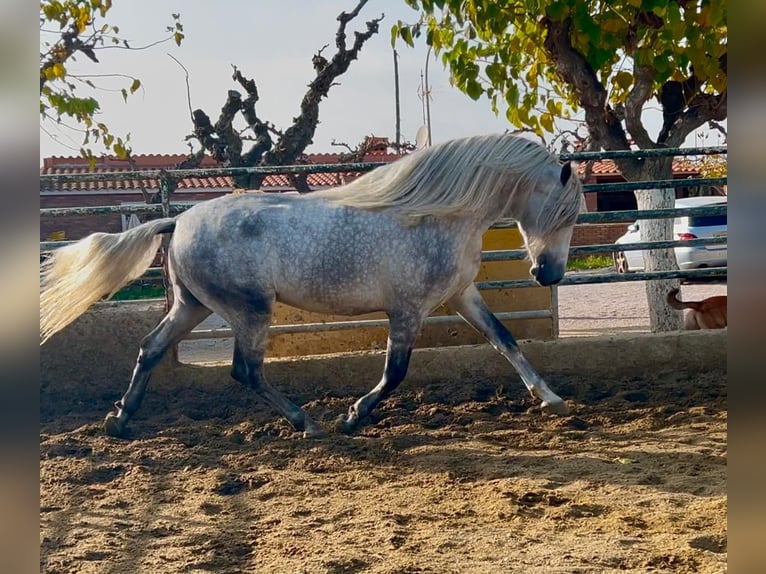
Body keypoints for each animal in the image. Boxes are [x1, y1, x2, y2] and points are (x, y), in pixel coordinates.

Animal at [40, 135, 584, 438]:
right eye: (566, 213)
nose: (549, 275)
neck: (436, 215)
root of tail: (179, 220)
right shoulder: (408, 310)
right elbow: (395, 373)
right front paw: (352, 417)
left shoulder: (460, 296)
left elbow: (505, 339)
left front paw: (552, 399)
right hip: (250, 311)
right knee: (245, 371)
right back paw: (309, 424)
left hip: (193, 306)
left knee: (152, 348)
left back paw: (119, 420)